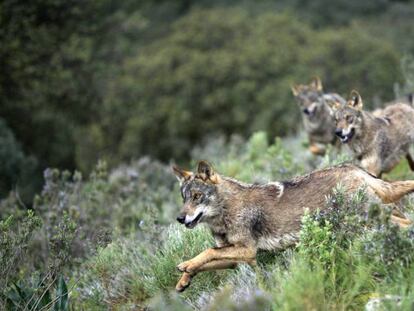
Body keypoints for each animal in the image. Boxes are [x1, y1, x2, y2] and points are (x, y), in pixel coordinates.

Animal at [172, 161, 414, 292]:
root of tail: (353, 168)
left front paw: (185, 266)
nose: (180, 218)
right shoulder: (239, 259)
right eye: (184, 198)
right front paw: (184, 279)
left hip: (366, 220)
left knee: (405, 224)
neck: (226, 211)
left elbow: (207, 251)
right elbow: (206, 260)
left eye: (197, 196)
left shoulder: (247, 251)